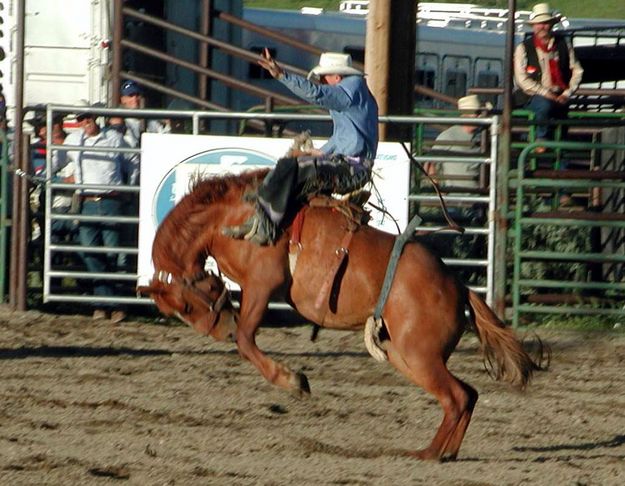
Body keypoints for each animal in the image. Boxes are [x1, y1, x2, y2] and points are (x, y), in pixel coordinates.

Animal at [139, 169, 540, 462]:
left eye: (186, 306)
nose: (219, 330)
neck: (230, 217)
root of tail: (458, 286)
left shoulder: (263, 284)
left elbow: (247, 341)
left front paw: (294, 381)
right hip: (405, 356)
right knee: (466, 395)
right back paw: (444, 452)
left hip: (418, 355)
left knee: (457, 397)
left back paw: (429, 453)